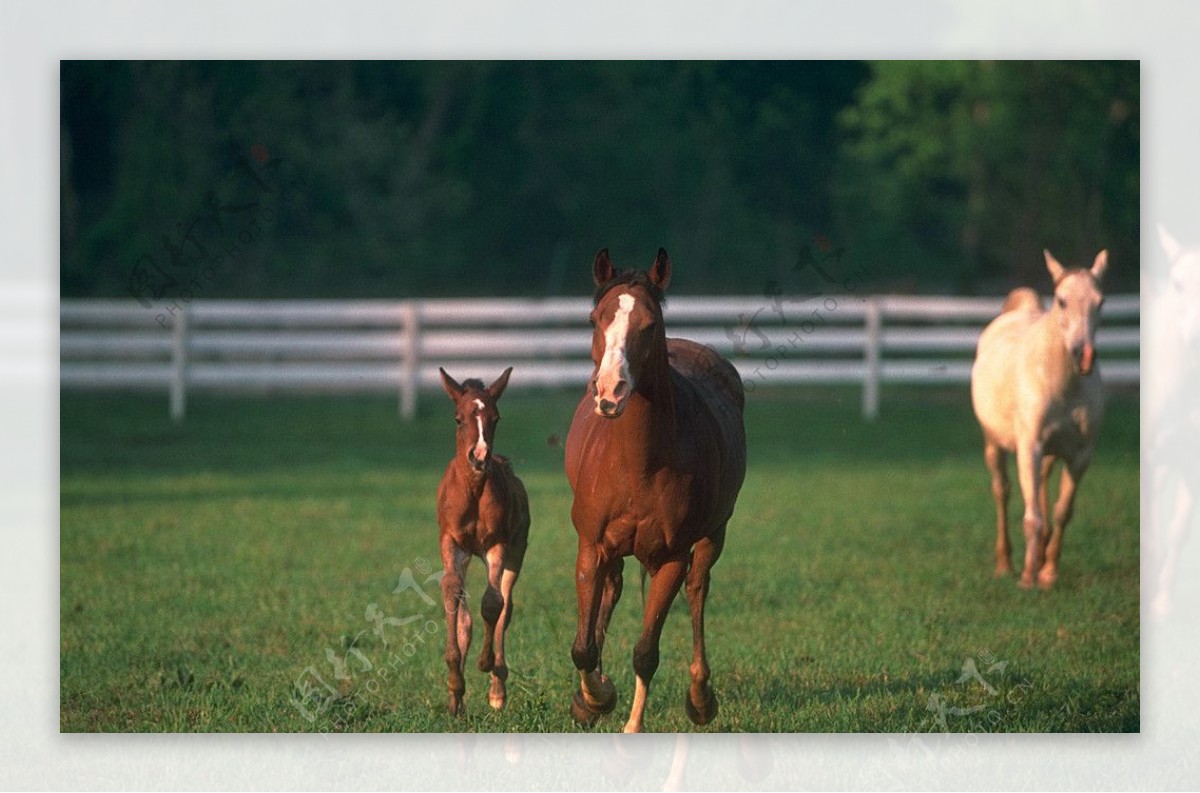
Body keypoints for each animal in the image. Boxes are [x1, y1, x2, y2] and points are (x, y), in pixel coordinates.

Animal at [432, 367, 525, 715]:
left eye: (495, 418)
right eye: (458, 419)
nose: (480, 456)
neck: (472, 491)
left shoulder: (496, 545)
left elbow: (493, 603)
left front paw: (485, 664)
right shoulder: (451, 542)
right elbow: (452, 593)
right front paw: (454, 689)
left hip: (515, 554)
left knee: (505, 607)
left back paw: (498, 689)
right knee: (468, 617)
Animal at [564, 247, 748, 729]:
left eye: (649, 325)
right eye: (595, 319)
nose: (610, 392)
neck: (636, 464)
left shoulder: (671, 558)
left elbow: (646, 652)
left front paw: (631, 723)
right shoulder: (591, 545)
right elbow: (583, 646)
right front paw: (593, 698)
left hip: (713, 536)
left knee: (698, 591)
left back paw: (700, 697)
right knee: (612, 591)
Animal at [969, 249, 1108, 587]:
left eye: (1100, 302)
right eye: (1061, 300)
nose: (1084, 356)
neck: (1060, 381)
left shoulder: (1080, 455)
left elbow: (1062, 511)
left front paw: (1048, 572)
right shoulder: (1029, 448)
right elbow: (1033, 516)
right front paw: (1028, 577)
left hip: (1050, 452)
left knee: (1043, 485)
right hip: (994, 444)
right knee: (1002, 491)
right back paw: (1005, 563)